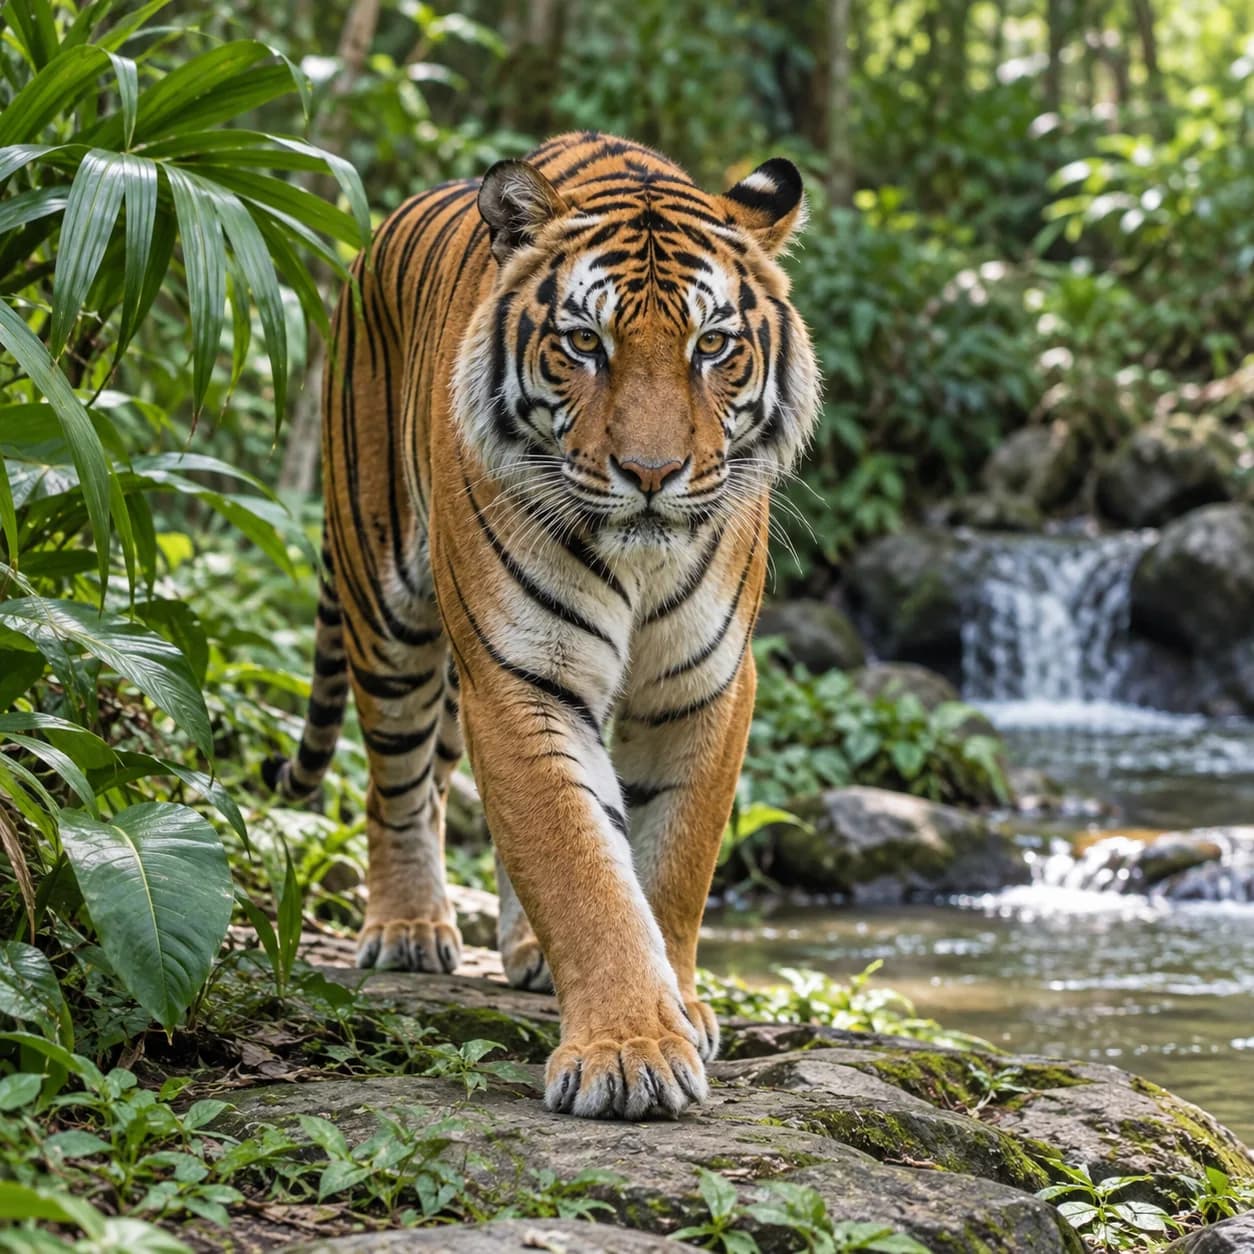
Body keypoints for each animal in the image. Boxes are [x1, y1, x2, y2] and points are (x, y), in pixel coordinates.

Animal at [265, 131, 820, 1120]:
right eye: (584, 343)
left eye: (712, 346)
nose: (652, 473)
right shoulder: (520, 672)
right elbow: (577, 862)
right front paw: (631, 1050)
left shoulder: (706, 682)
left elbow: (667, 864)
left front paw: (678, 1010)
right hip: (388, 608)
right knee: (400, 785)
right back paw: (408, 928)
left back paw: (526, 954)